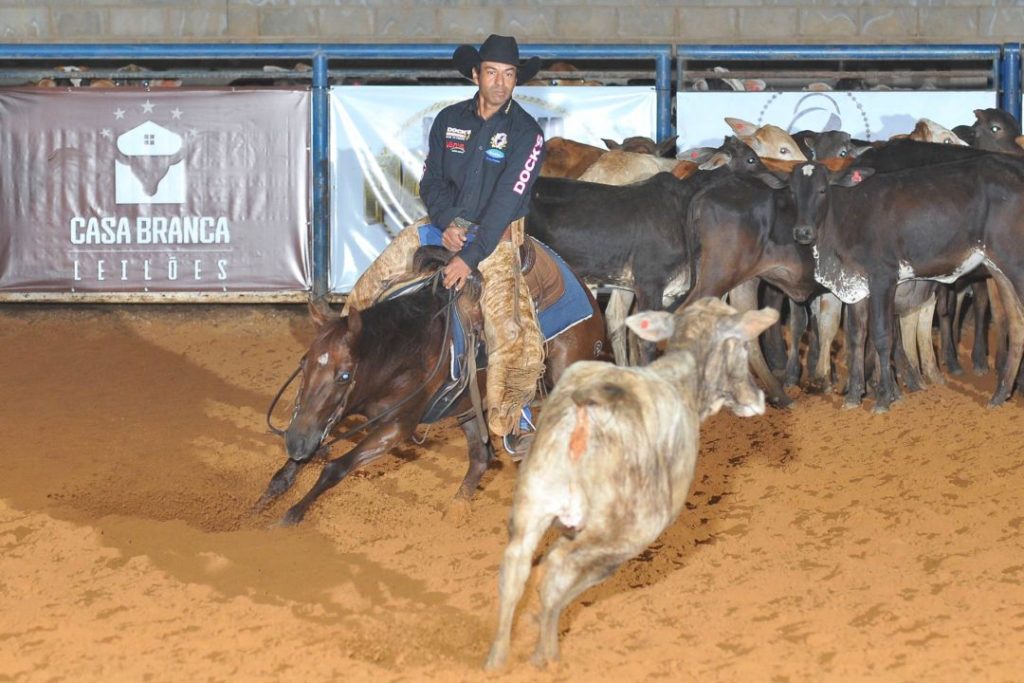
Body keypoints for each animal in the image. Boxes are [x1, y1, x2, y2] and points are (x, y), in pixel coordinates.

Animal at [260, 248, 606, 528]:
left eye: (344, 375)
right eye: (304, 363)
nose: (294, 441)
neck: (408, 347)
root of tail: (588, 294)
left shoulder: (397, 426)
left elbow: (335, 468)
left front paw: (290, 516)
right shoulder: (336, 411)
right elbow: (308, 447)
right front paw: (265, 499)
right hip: (468, 407)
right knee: (481, 457)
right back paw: (457, 507)